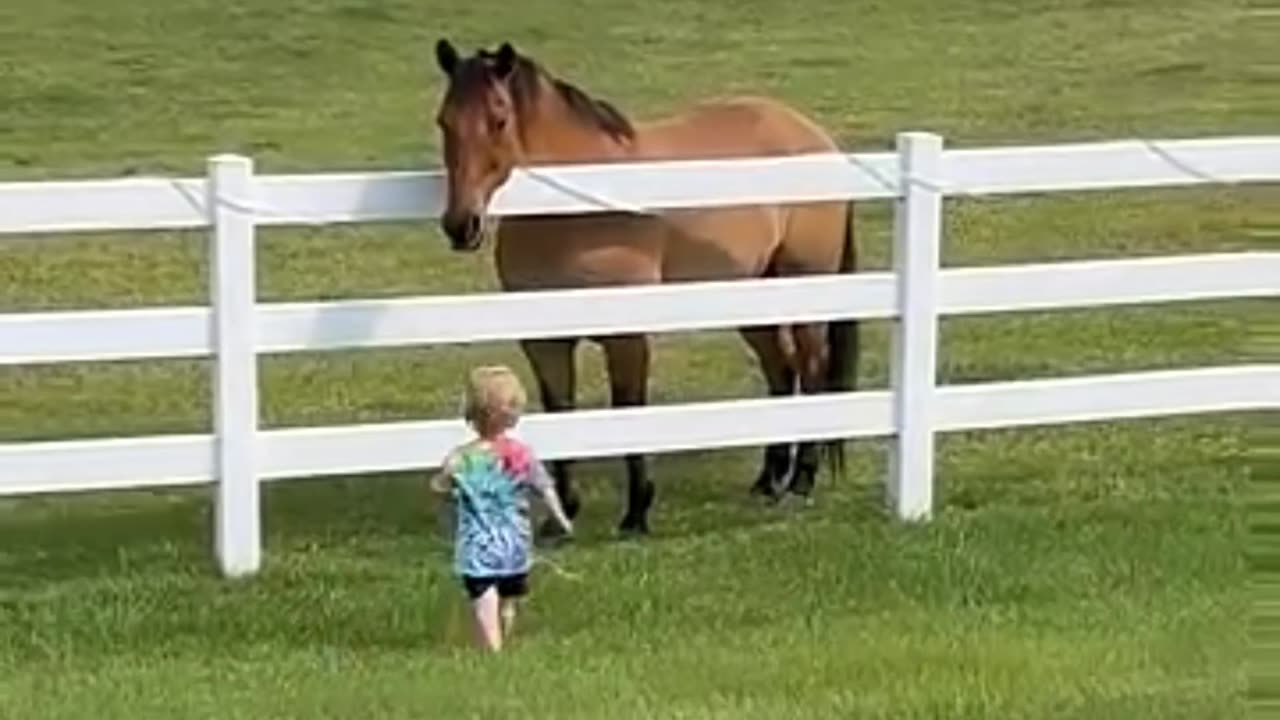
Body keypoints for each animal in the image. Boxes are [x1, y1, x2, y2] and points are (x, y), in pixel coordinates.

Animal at [430, 37, 860, 532]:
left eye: (498, 118)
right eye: (444, 121)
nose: (460, 225)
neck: (578, 213)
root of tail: (816, 136)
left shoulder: (627, 336)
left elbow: (629, 411)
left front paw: (637, 511)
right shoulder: (545, 341)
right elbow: (561, 411)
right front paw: (563, 516)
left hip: (806, 290)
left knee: (811, 370)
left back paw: (801, 482)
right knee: (782, 371)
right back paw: (768, 481)